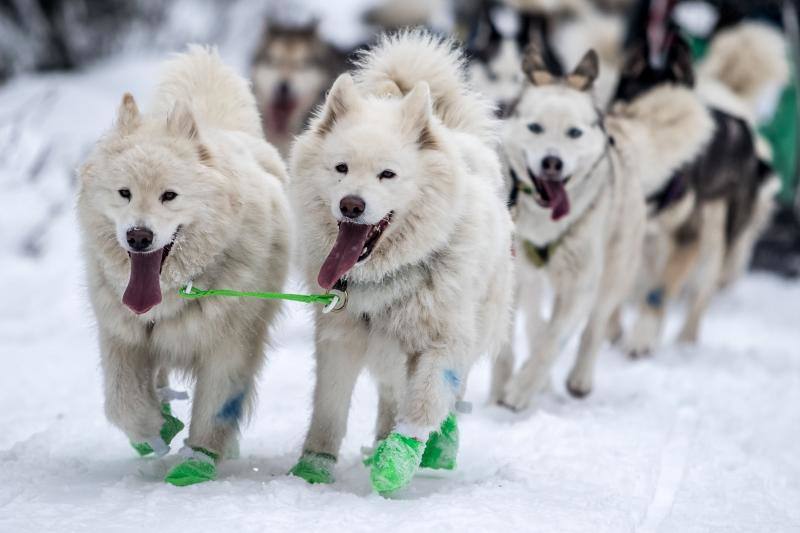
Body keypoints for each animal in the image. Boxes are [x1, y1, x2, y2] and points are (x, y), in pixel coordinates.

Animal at [77, 46, 290, 486]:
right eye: (124, 193)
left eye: (169, 196)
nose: (138, 237)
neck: (176, 291)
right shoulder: (122, 336)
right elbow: (122, 402)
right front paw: (152, 430)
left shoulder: (231, 344)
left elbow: (215, 407)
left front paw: (198, 460)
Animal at [288, 29, 512, 494]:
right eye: (341, 168)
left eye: (387, 174)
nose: (351, 205)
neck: (388, 278)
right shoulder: (339, 340)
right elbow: (329, 410)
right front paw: (313, 468)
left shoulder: (443, 344)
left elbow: (425, 404)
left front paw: (397, 462)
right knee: (392, 396)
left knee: (442, 401)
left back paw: (435, 448)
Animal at [494, 45, 712, 410]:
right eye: (535, 127)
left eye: (574, 133)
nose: (552, 162)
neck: (545, 225)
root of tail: (617, 130)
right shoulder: (514, 275)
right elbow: (511, 341)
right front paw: (501, 385)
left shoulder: (580, 285)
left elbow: (554, 341)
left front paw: (522, 389)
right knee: (537, 319)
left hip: (614, 273)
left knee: (593, 327)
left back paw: (579, 378)